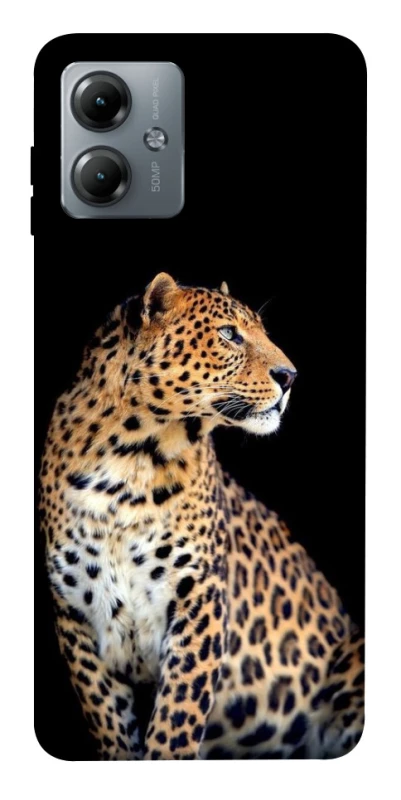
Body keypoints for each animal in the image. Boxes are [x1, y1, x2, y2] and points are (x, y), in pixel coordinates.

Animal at [39, 272, 364, 760]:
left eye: (262, 331)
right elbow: (112, 724)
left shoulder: (200, 597)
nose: (290, 376)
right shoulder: (76, 616)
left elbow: (176, 720)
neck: (129, 461)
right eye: (229, 334)